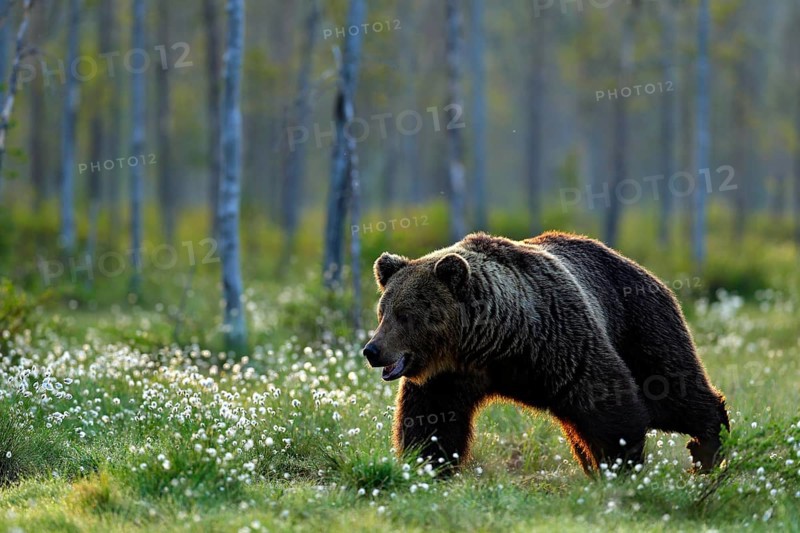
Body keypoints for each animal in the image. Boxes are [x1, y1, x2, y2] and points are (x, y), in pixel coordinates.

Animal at [362, 231, 729, 475]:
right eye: (383, 312)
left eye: (406, 315)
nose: (372, 350)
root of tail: (648, 272)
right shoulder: (447, 378)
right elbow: (430, 423)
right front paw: (426, 466)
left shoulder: (560, 340)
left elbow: (610, 405)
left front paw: (621, 466)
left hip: (640, 325)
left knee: (671, 390)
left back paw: (708, 449)